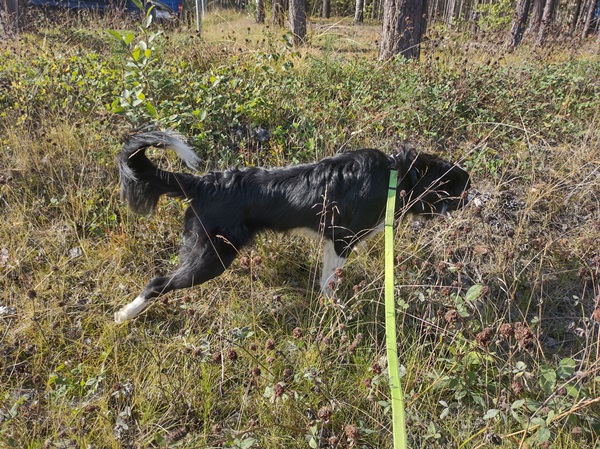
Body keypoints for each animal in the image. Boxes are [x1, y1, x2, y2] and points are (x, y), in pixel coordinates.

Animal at [113, 130, 468, 322]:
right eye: (461, 189)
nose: (471, 202)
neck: (398, 174)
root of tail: (204, 183)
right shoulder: (344, 240)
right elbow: (331, 281)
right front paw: (337, 309)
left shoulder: (331, 241)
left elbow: (325, 278)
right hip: (211, 257)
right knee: (157, 282)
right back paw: (125, 315)